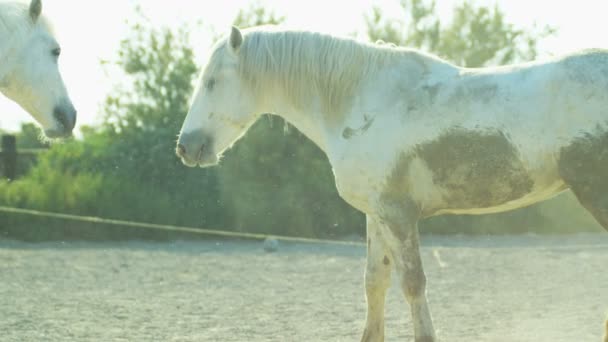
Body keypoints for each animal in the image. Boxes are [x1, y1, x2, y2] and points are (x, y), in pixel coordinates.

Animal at [176, 25, 608, 340]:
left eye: (212, 81)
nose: (186, 146)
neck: (362, 101)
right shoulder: (377, 213)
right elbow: (375, 282)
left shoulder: (398, 214)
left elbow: (413, 284)